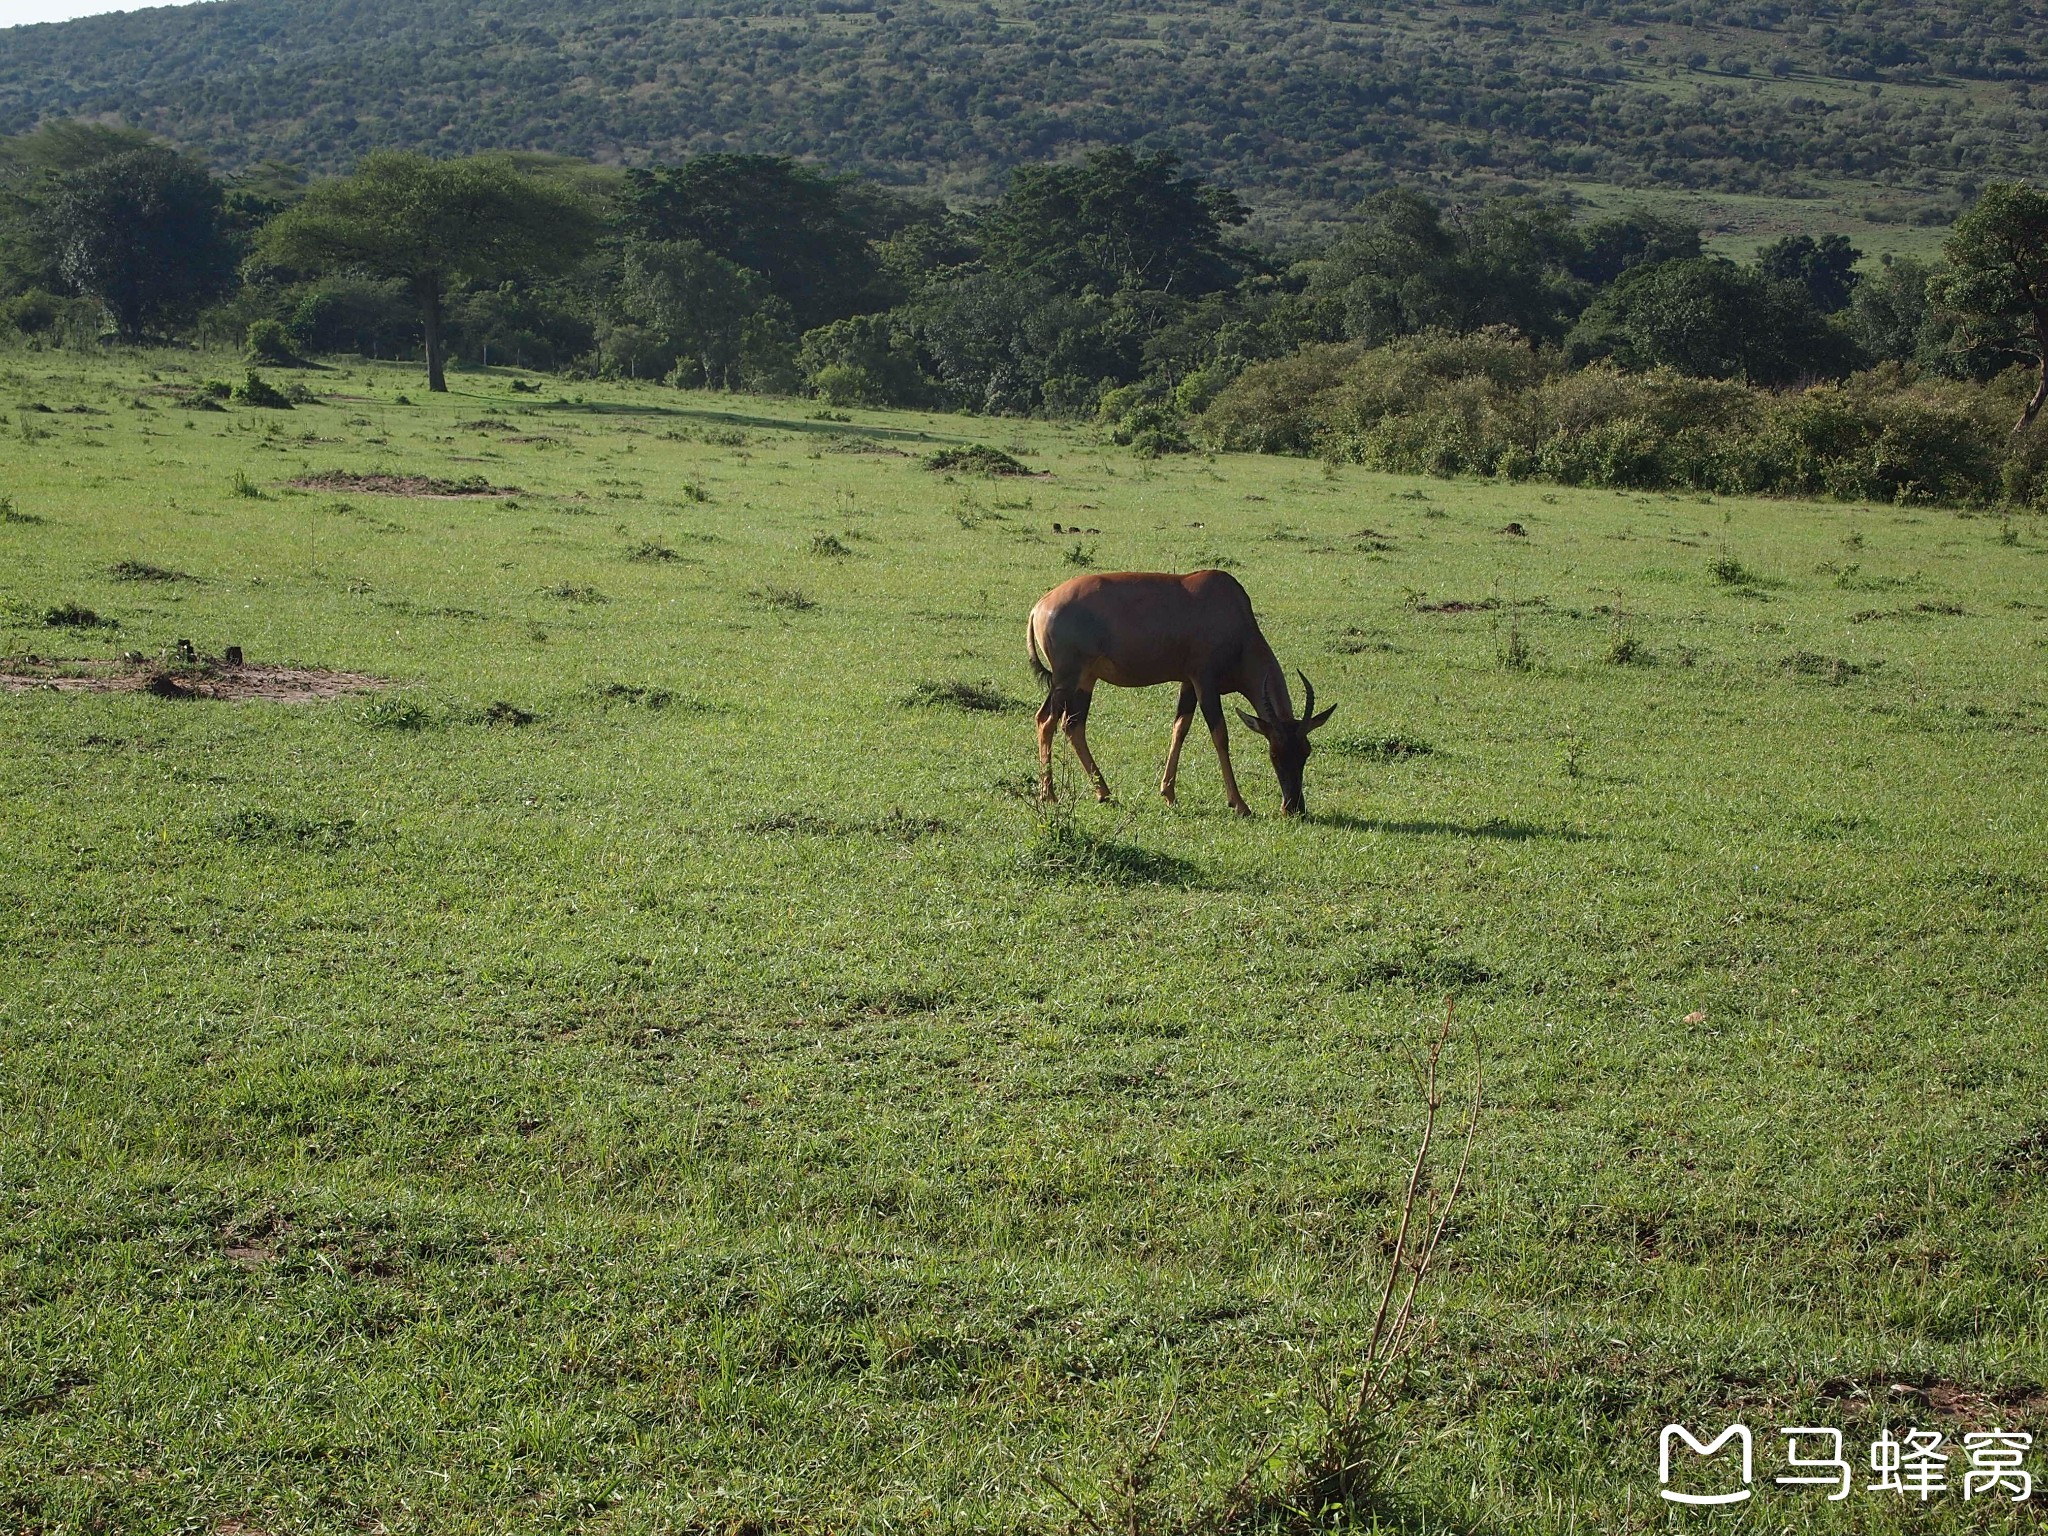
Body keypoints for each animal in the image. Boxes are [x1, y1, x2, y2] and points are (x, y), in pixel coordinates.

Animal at [1032, 573, 1335, 819]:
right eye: (1274, 753)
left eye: (1306, 751)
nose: (1294, 808)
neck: (1230, 609)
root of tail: (1040, 605)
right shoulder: (1205, 682)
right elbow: (1220, 735)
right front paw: (1239, 804)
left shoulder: (1188, 684)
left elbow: (1180, 728)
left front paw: (1168, 794)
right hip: (1067, 678)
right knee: (1047, 721)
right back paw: (1050, 795)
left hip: (1084, 680)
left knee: (1072, 725)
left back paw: (1103, 793)